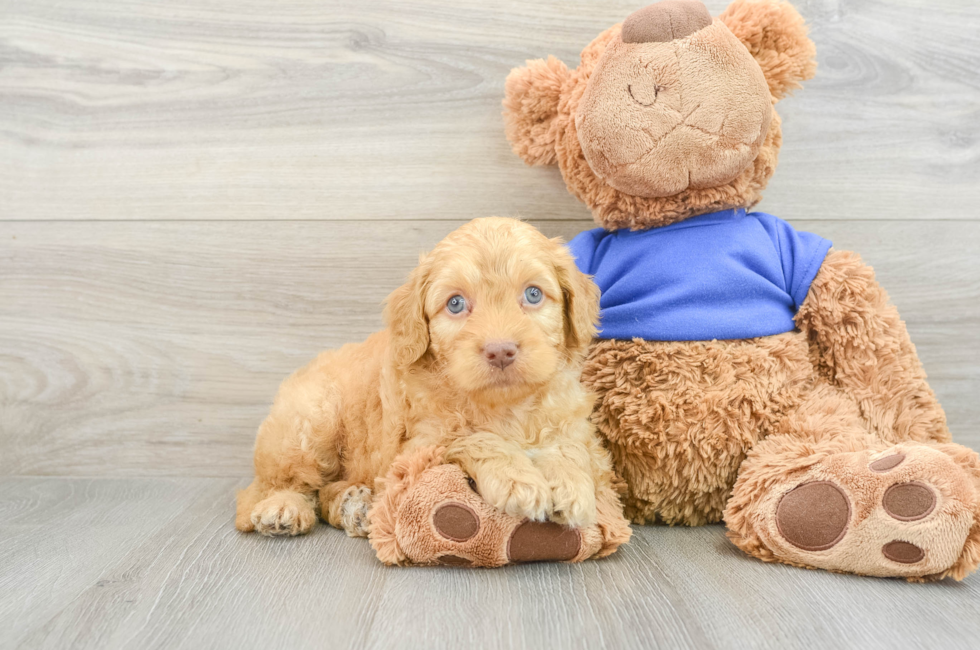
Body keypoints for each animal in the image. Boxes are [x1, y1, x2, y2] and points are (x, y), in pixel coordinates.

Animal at [234, 218, 612, 536]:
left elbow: (569, 445)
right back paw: (283, 508)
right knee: (268, 488)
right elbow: (475, 437)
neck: (505, 407)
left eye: (533, 294)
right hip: (308, 422)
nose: (501, 350)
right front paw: (518, 479)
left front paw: (571, 483)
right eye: (456, 303)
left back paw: (353, 506)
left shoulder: (573, 422)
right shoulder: (420, 444)